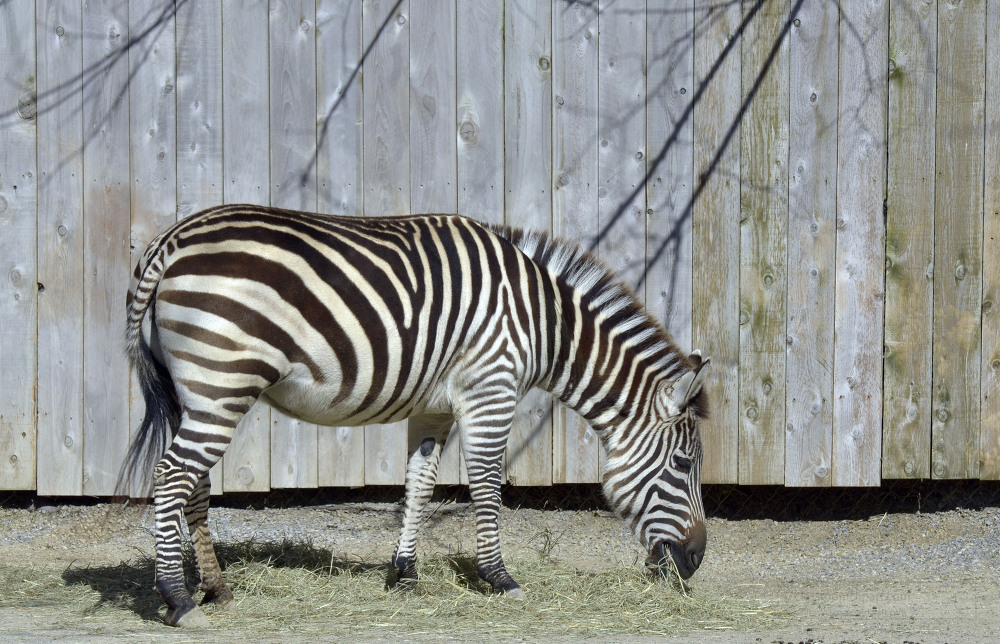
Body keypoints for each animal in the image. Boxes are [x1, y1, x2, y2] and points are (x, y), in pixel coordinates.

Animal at [119, 204, 712, 628]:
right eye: (683, 465)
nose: (697, 561)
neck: (542, 325)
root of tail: (170, 241)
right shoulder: (491, 388)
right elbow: (487, 484)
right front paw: (500, 578)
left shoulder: (434, 408)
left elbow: (420, 484)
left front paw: (404, 574)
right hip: (222, 381)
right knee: (171, 477)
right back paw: (177, 598)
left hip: (197, 391)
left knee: (192, 484)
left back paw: (216, 589)